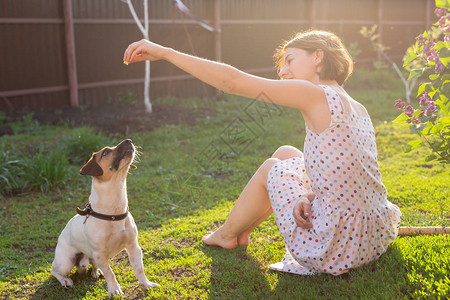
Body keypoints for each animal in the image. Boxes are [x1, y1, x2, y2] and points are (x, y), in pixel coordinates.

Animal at [50, 139, 158, 296]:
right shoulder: (99, 254)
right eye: (106, 152)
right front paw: (114, 289)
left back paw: (95, 271)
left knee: (93, 265)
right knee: (54, 270)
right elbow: (110, 272)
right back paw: (65, 280)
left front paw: (146, 284)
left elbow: (139, 269)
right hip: (66, 261)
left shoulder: (133, 247)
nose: (129, 140)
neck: (113, 211)